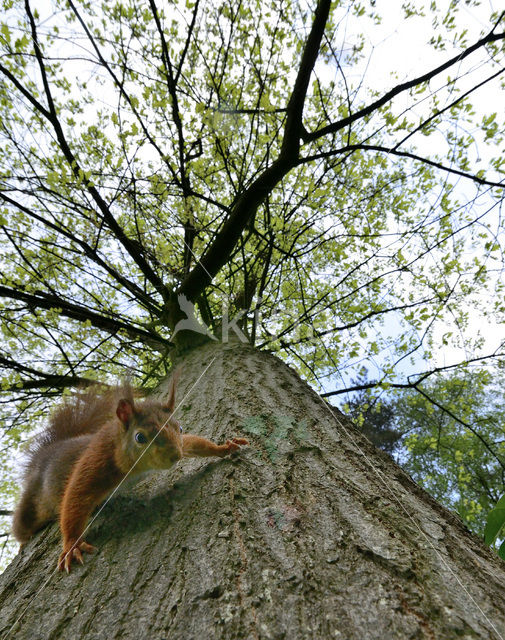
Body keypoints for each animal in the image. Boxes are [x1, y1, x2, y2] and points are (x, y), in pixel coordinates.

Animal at [11, 372, 248, 572]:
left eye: (180, 428)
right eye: (140, 437)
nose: (175, 456)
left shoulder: (183, 444)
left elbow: (193, 443)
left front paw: (224, 447)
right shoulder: (96, 461)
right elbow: (75, 498)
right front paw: (71, 546)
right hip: (32, 502)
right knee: (23, 524)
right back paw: (23, 542)